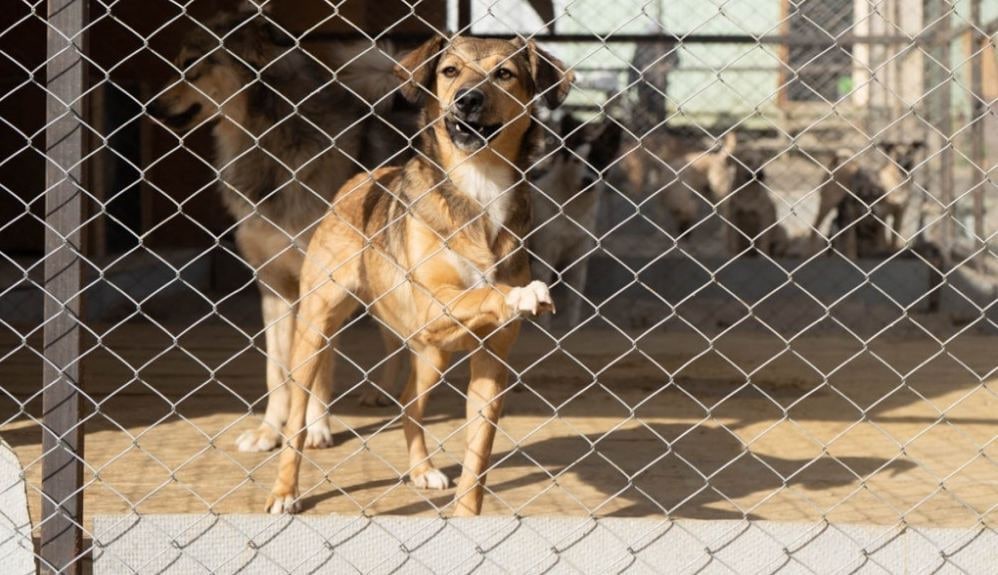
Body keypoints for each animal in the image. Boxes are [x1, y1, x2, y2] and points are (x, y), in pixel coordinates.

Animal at [266, 38, 576, 520]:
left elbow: (477, 461)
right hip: (315, 331)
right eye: (449, 71)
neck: (480, 186)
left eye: (504, 74)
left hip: (431, 354)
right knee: (297, 420)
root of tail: (364, 177)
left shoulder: (490, 366)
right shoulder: (436, 305)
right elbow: (489, 291)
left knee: (411, 405)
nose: (467, 100)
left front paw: (466, 516)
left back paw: (421, 469)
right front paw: (521, 294)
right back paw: (284, 491)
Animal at [528, 113, 620, 328]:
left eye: (599, 160)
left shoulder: (578, 263)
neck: (571, 209)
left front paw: (573, 330)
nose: (588, 180)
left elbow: (573, 306)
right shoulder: (544, 260)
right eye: (576, 161)